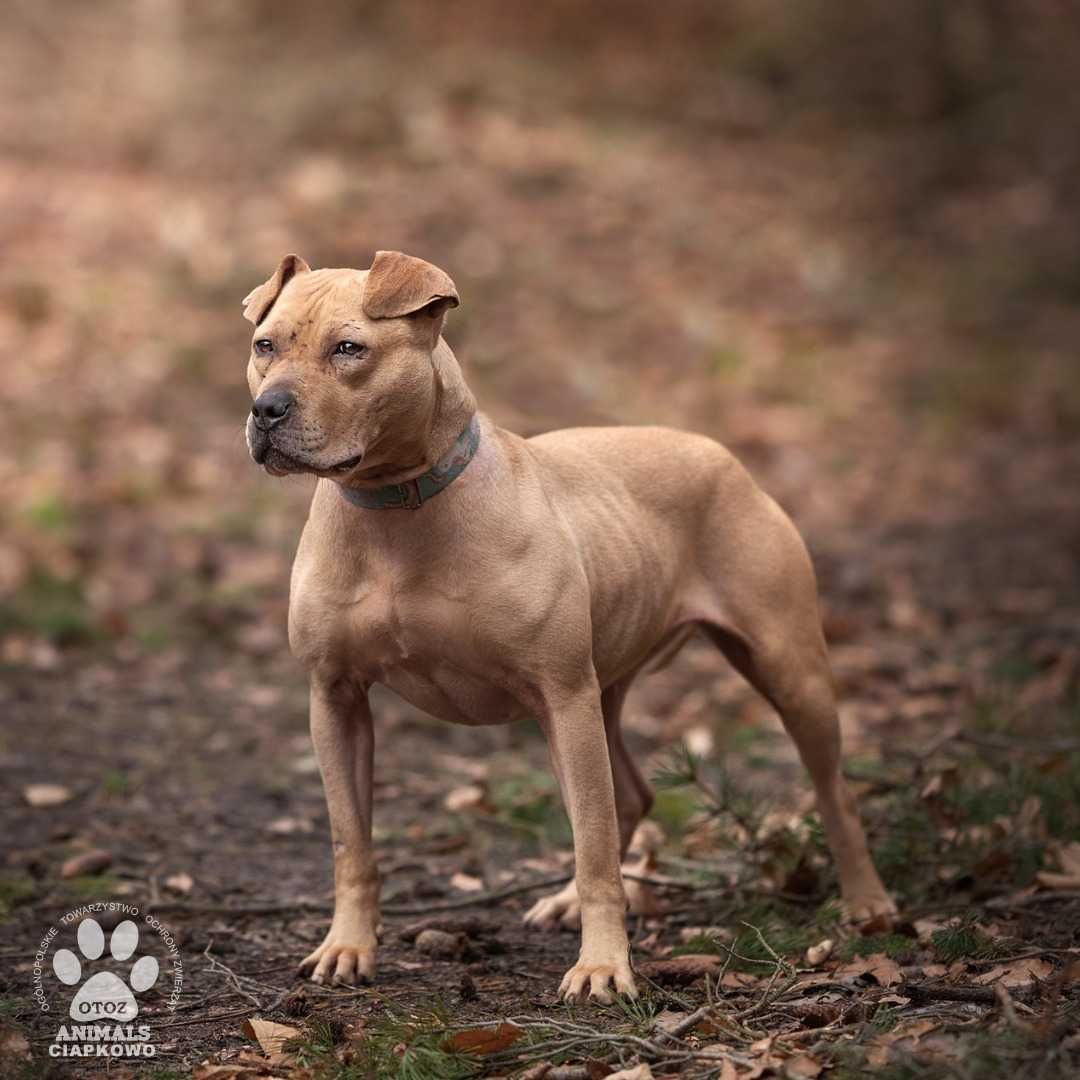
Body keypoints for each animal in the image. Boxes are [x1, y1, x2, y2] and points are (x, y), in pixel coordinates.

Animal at [245, 248, 894, 997]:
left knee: (830, 790)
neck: (395, 505)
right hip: (600, 695)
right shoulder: (336, 697)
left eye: (348, 349)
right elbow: (351, 842)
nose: (266, 409)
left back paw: (868, 902)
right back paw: (562, 902)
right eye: (265, 346)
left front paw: (604, 965)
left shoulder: (562, 694)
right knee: (630, 798)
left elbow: (594, 850)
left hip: (783, 675)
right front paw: (347, 947)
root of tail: (718, 451)